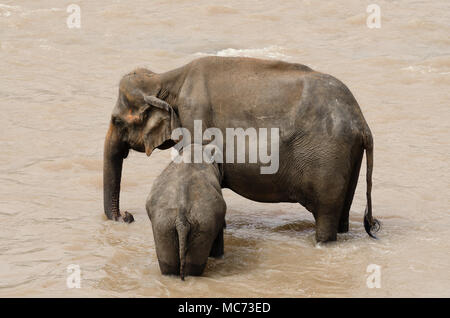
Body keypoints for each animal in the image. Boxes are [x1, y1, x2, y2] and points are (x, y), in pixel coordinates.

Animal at [103, 56, 380, 242]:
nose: (127, 216)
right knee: (342, 212)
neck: (166, 78)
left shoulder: (195, 119)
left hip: (328, 156)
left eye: (117, 121)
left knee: (326, 214)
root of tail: (362, 123)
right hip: (349, 156)